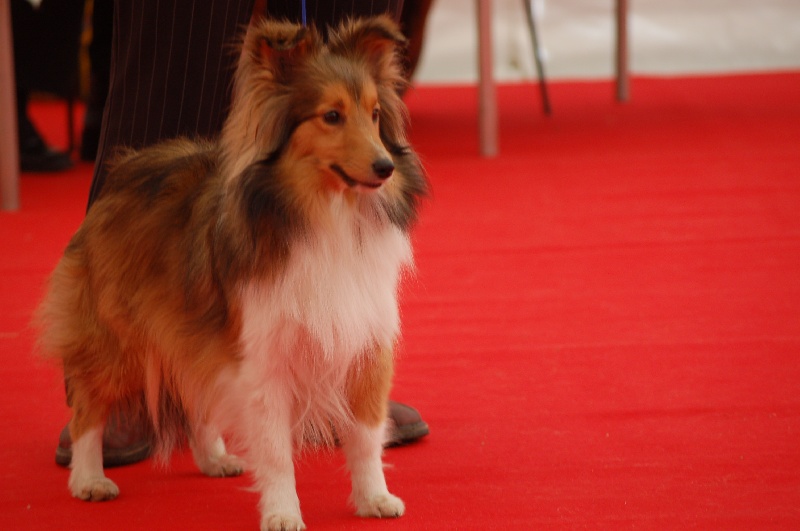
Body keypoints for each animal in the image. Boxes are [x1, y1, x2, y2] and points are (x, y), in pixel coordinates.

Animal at [35, 14, 428, 528]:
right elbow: (277, 452)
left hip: (186, 326)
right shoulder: (264, 356)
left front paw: (374, 499)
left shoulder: (363, 339)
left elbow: (365, 435)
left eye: (376, 113)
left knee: (195, 388)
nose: (384, 167)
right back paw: (88, 479)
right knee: (88, 408)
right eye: (332, 116)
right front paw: (282, 513)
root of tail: (125, 170)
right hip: (115, 339)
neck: (325, 213)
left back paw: (213, 458)